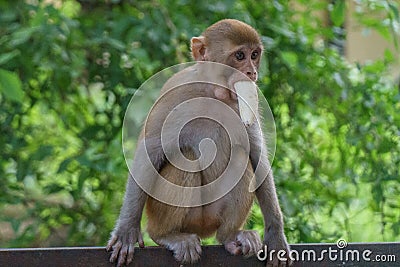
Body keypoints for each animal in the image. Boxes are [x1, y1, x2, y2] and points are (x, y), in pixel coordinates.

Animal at [107, 19, 290, 267]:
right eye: (240, 55)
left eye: (255, 54)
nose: (252, 72)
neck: (212, 91)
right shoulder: (174, 92)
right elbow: (150, 153)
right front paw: (126, 230)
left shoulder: (247, 101)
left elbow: (256, 155)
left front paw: (276, 235)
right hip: (166, 213)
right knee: (186, 158)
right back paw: (167, 235)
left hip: (211, 217)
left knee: (241, 158)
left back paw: (231, 236)